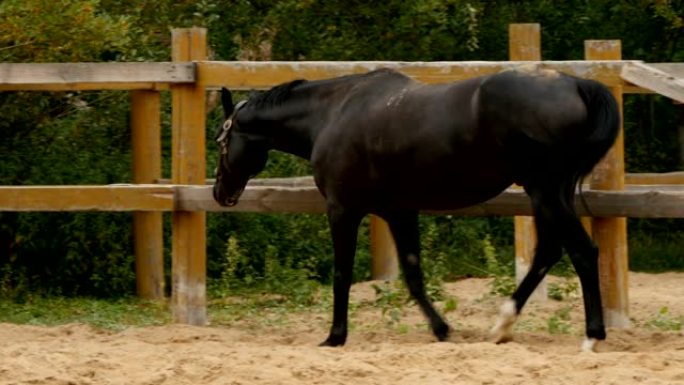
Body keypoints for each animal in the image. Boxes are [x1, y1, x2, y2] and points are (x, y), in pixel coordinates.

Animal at [212, 67, 620, 352]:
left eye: (221, 139)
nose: (220, 193)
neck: (331, 114)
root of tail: (575, 84)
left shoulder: (343, 210)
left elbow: (342, 274)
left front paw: (334, 337)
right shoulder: (400, 211)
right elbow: (413, 274)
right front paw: (442, 330)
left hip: (545, 190)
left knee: (583, 251)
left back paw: (591, 336)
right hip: (550, 193)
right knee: (548, 253)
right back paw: (502, 326)